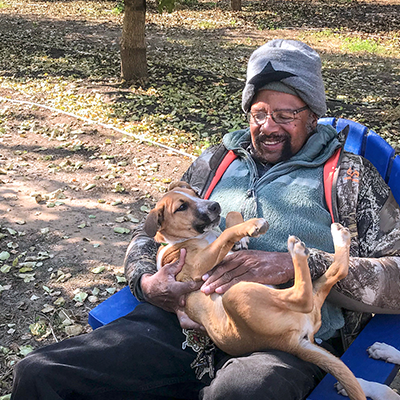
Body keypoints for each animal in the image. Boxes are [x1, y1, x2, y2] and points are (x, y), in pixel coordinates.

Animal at [145, 182, 368, 400]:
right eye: (181, 207)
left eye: (196, 193)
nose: (215, 205)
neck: (178, 241)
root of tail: (293, 343)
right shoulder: (197, 266)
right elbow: (225, 234)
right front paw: (251, 225)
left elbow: (232, 216)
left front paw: (240, 237)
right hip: (237, 294)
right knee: (301, 296)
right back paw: (298, 250)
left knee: (337, 271)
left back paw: (339, 237)